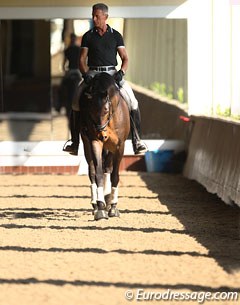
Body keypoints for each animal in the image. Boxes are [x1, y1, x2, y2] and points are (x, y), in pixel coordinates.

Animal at [79, 72, 130, 220]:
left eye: (106, 109)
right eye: (90, 110)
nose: (101, 134)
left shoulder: (119, 146)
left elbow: (115, 175)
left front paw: (112, 207)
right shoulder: (95, 142)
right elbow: (98, 173)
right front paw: (101, 207)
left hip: (111, 148)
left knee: (108, 167)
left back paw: (108, 200)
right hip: (87, 143)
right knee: (92, 170)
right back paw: (96, 204)